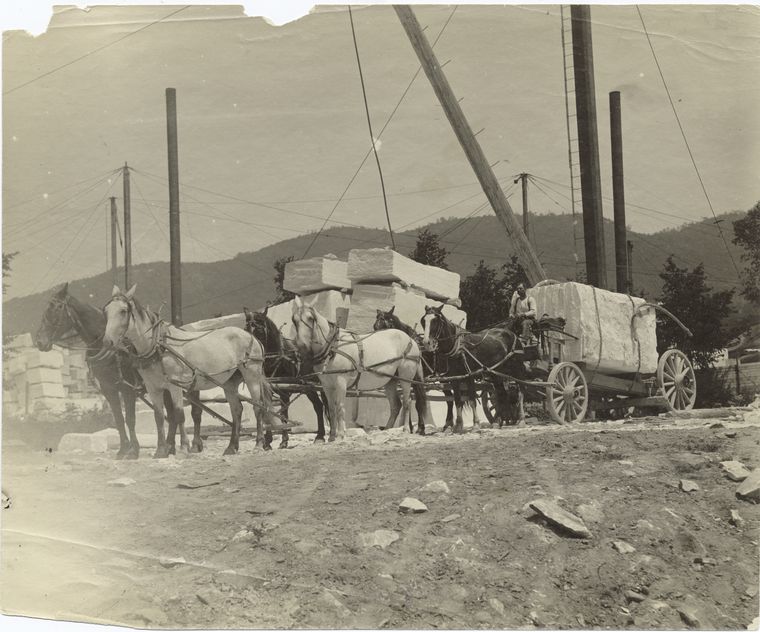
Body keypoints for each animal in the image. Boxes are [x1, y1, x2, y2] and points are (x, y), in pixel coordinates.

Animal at [99, 286, 278, 460]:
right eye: (105, 311)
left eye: (123, 311)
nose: (107, 342)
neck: (158, 345)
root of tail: (251, 336)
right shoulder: (153, 388)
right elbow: (159, 416)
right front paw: (161, 450)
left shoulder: (175, 385)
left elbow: (179, 414)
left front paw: (183, 448)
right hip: (229, 382)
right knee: (237, 410)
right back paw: (231, 447)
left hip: (252, 375)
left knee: (258, 407)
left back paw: (258, 444)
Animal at [242, 304, 328, 444]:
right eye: (246, 328)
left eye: (259, 330)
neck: (278, 358)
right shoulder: (268, 390)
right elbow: (268, 410)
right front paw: (268, 441)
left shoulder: (285, 393)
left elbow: (283, 414)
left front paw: (284, 440)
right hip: (308, 388)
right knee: (319, 406)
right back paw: (320, 435)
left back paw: (325, 434)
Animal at [290, 296, 424, 440]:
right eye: (294, 319)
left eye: (310, 318)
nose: (301, 345)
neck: (332, 347)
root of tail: (411, 340)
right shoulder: (326, 385)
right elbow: (331, 409)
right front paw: (332, 437)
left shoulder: (341, 381)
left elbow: (340, 407)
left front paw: (341, 435)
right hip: (390, 380)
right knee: (396, 405)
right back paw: (387, 430)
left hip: (405, 378)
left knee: (407, 401)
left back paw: (405, 429)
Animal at [416, 304, 528, 432]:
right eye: (423, 320)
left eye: (435, 320)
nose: (427, 343)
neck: (457, 347)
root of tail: (512, 334)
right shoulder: (455, 378)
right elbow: (457, 400)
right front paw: (458, 425)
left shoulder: (469, 376)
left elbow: (472, 400)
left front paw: (476, 424)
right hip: (496, 373)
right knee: (502, 394)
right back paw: (497, 422)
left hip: (516, 369)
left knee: (520, 391)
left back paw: (521, 420)